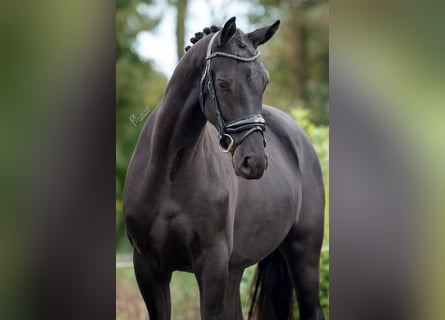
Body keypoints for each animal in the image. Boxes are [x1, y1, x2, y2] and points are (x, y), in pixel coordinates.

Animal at [123, 17, 324, 320]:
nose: (255, 162)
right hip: (235, 269)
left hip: (305, 259)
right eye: (222, 83)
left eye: (264, 81)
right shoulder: (148, 268)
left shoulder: (212, 265)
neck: (169, 174)